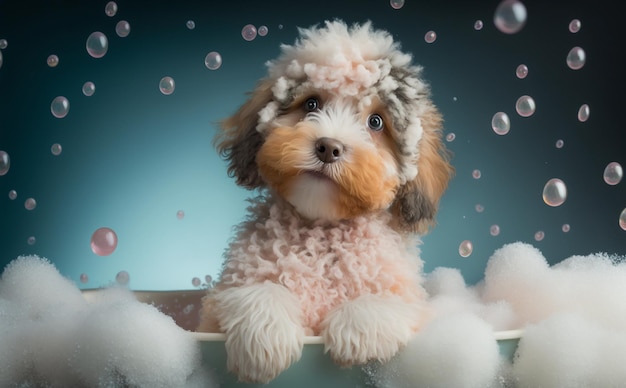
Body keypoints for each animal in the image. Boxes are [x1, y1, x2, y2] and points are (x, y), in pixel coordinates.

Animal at [197, 20, 450, 382]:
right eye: (312, 104)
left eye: (376, 122)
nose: (328, 147)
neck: (322, 230)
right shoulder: (224, 298)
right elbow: (261, 291)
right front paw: (263, 336)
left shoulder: (411, 301)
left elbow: (383, 302)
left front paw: (356, 330)